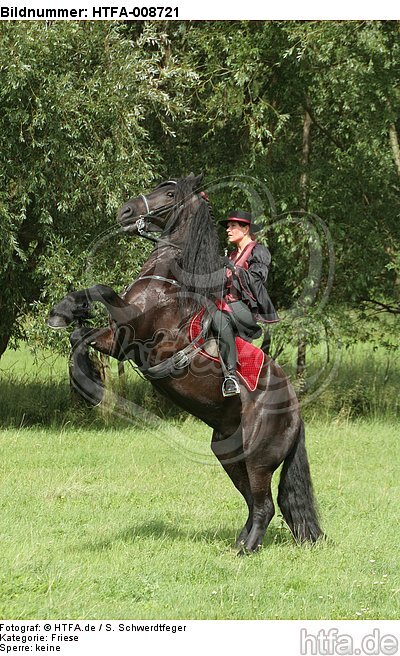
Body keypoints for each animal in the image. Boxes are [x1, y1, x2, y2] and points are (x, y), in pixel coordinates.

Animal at [48, 172, 323, 553]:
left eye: (168, 193)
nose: (125, 211)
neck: (167, 283)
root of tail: (295, 409)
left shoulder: (133, 331)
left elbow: (101, 289)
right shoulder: (119, 340)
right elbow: (81, 335)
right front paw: (70, 322)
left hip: (258, 457)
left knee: (264, 504)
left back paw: (245, 551)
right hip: (229, 452)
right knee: (253, 503)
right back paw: (240, 542)